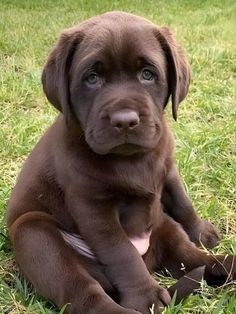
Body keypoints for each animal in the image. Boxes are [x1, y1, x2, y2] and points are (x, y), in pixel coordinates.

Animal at [6, 11, 235, 314]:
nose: (125, 120)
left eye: (147, 74)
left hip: (163, 225)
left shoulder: (168, 168)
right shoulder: (93, 207)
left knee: (193, 258)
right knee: (85, 292)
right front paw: (145, 296)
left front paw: (201, 231)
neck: (132, 159)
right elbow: (121, 252)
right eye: (92, 78)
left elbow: (181, 200)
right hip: (35, 235)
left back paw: (226, 264)